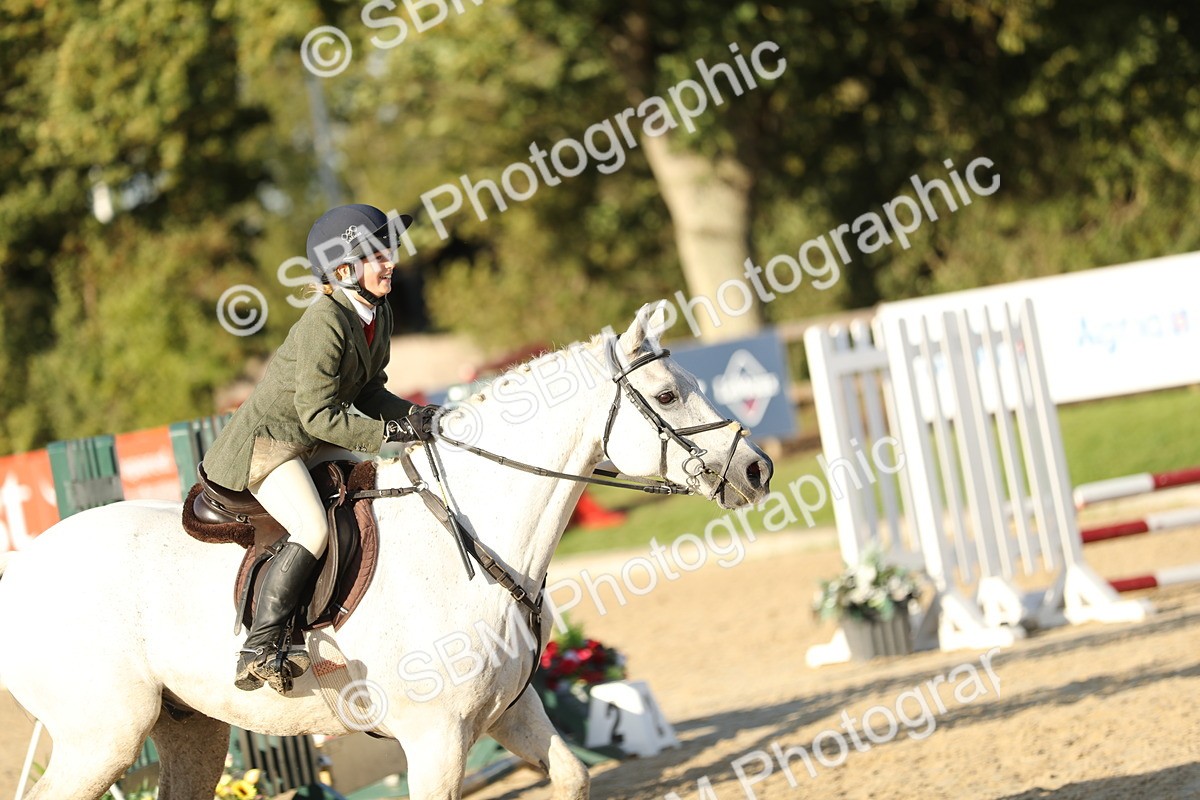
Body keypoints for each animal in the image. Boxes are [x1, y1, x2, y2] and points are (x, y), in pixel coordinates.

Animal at [0, 302, 773, 800]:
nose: (757, 469)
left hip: (189, 727)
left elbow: (574, 775)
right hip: (102, 736)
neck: (479, 533)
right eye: (668, 396)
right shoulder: (435, 741)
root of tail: (22, 569)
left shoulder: (510, 711)